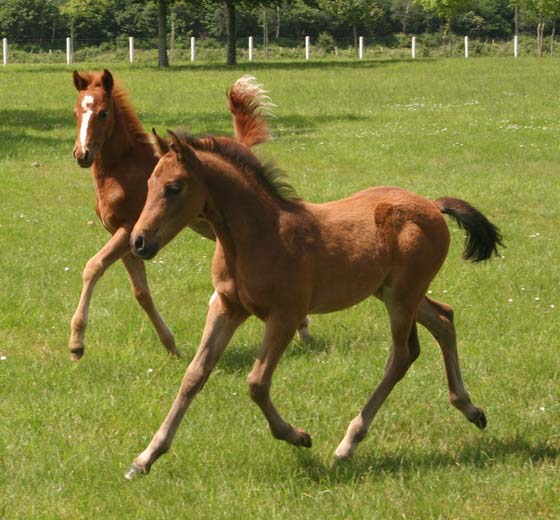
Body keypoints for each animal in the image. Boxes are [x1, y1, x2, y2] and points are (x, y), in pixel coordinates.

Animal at [69, 70, 310, 362]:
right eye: (75, 112)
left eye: (103, 113)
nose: (82, 154)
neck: (120, 170)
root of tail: (239, 144)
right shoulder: (129, 237)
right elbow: (141, 292)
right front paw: (170, 344)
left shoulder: (127, 230)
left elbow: (93, 266)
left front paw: (76, 343)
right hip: (207, 225)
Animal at [123, 131, 504, 480]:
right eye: (149, 183)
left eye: (174, 187)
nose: (139, 242)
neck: (257, 235)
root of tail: (432, 205)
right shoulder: (227, 309)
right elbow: (194, 376)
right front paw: (145, 458)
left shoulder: (286, 315)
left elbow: (256, 382)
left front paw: (298, 436)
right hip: (391, 292)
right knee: (443, 318)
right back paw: (471, 409)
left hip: (401, 296)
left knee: (402, 354)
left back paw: (347, 445)